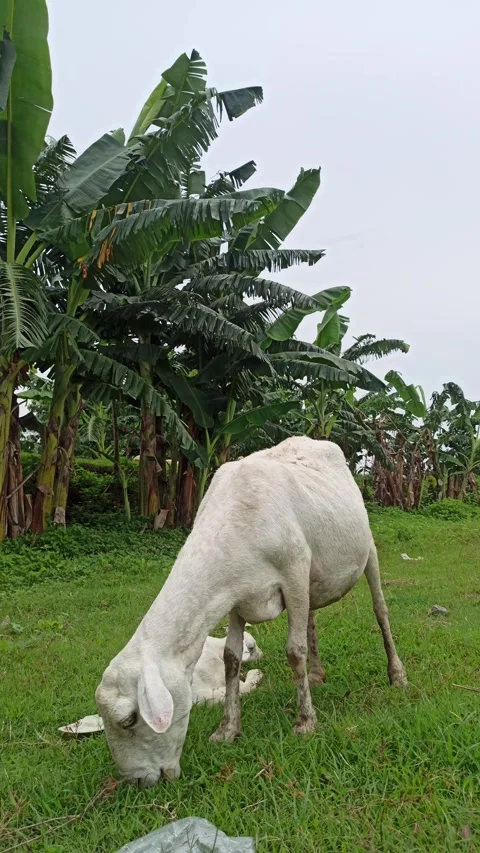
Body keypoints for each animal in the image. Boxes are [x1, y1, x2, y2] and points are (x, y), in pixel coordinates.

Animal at [96, 437, 407, 787]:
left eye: (129, 719)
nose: (136, 781)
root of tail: (314, 439)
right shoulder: (235, 597)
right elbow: (231, 659)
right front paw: (227, 729)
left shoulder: (294, 572)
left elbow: (294, 652)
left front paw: (305, 722)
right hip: (313, 576)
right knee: (311, 618)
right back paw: (316, 674)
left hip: (366, 551)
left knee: (380, 611)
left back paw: (396, 674)